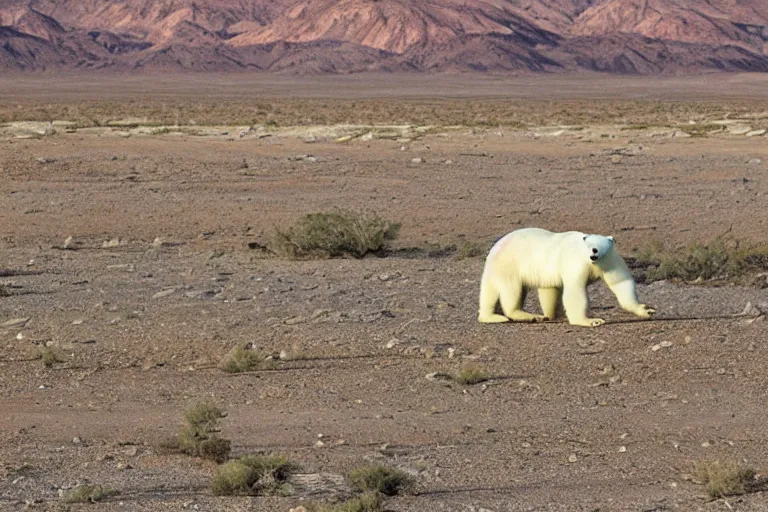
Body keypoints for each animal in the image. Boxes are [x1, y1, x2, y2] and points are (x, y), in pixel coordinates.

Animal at [480, 228, 656, 328]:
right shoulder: (577, 262)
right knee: (512, 289)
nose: (593, 254)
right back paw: (528, 315)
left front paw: (646, 310)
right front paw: (591, 321)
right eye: (590, 246)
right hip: (510, 264)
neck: (593, 263)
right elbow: (575, 290)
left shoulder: (610, 260)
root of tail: (493, 252)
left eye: (599, 247)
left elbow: (621, 282)